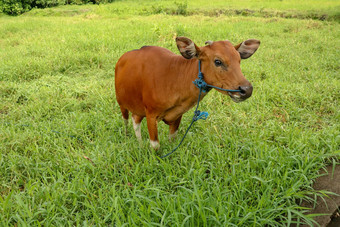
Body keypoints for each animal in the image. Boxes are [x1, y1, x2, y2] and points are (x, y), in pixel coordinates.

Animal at [115, 36, 260, 150]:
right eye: (218, 61)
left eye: (239, 60)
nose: (246, 89)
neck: (175, 77)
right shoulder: (151, 114)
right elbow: (155, 146)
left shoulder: (177, 115)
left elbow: (172, 140)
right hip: (121, 103)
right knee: (126, 121)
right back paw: (127, 136)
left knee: (135, 119)